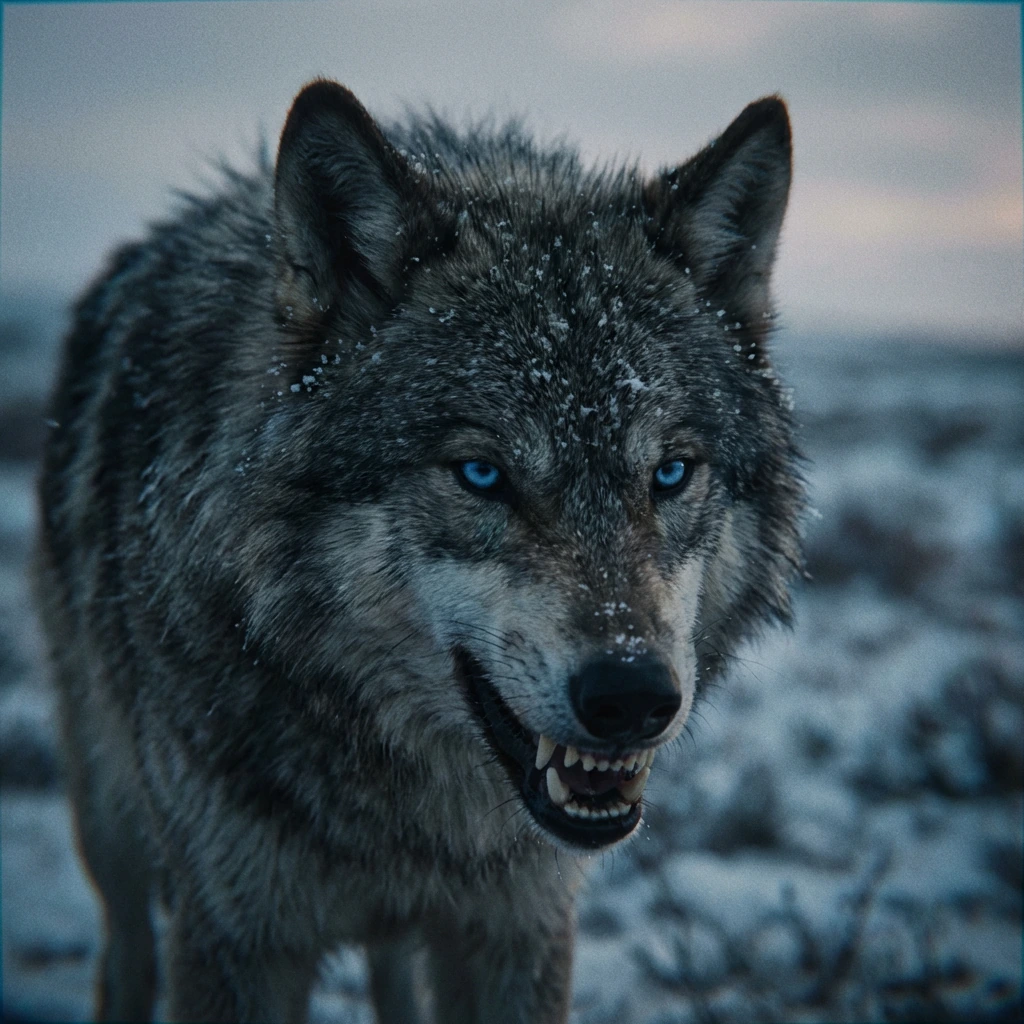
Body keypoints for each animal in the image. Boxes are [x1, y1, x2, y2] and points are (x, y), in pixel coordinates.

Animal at [34, 78, 802, 1023]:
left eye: (669, 472)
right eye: (481, 473)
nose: (632, 696)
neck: (413, 812)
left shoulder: (519, 928)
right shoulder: (234, 937)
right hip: (114, 825)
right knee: (125, 952)